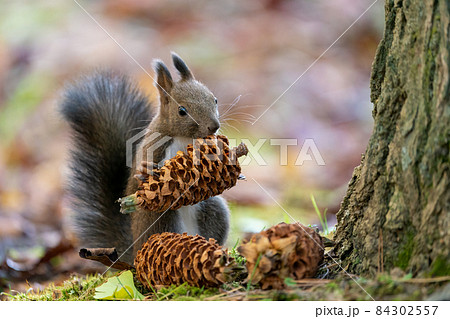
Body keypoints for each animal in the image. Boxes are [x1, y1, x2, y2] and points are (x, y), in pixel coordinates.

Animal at [61, 53, 230, 264]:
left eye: (214, 99)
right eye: (182, 111)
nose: (213, 127)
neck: (185, 138)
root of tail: (135, 252)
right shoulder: (152, 147)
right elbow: (132, 187)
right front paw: (145, 172)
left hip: (215, 210)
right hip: (160, 220)